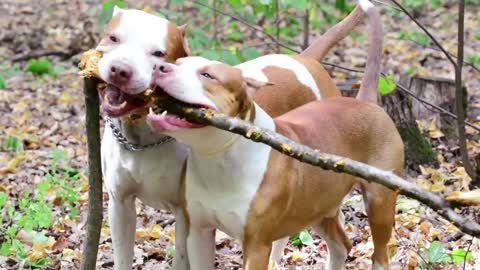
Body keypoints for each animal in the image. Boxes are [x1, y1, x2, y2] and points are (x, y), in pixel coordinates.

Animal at [96, 4, 368, 270]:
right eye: (113, 38)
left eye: (158, 53)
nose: (120, 70)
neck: (143, 138)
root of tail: (305, 58)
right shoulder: (120, 205)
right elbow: (122, 257)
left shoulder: (185, 215)